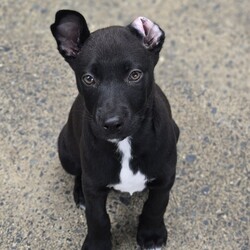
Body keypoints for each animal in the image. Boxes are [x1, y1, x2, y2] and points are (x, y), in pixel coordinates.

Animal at [50, 9, 179, 250]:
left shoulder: (165, 177)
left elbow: (156, 206)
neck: (125, 144)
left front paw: (151, 234)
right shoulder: (94, 185)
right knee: (79, 173)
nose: (111, 123)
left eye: (135, 75)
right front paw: (97, 243)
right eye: (88, 79)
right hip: (66, 151)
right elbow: (97, 217)